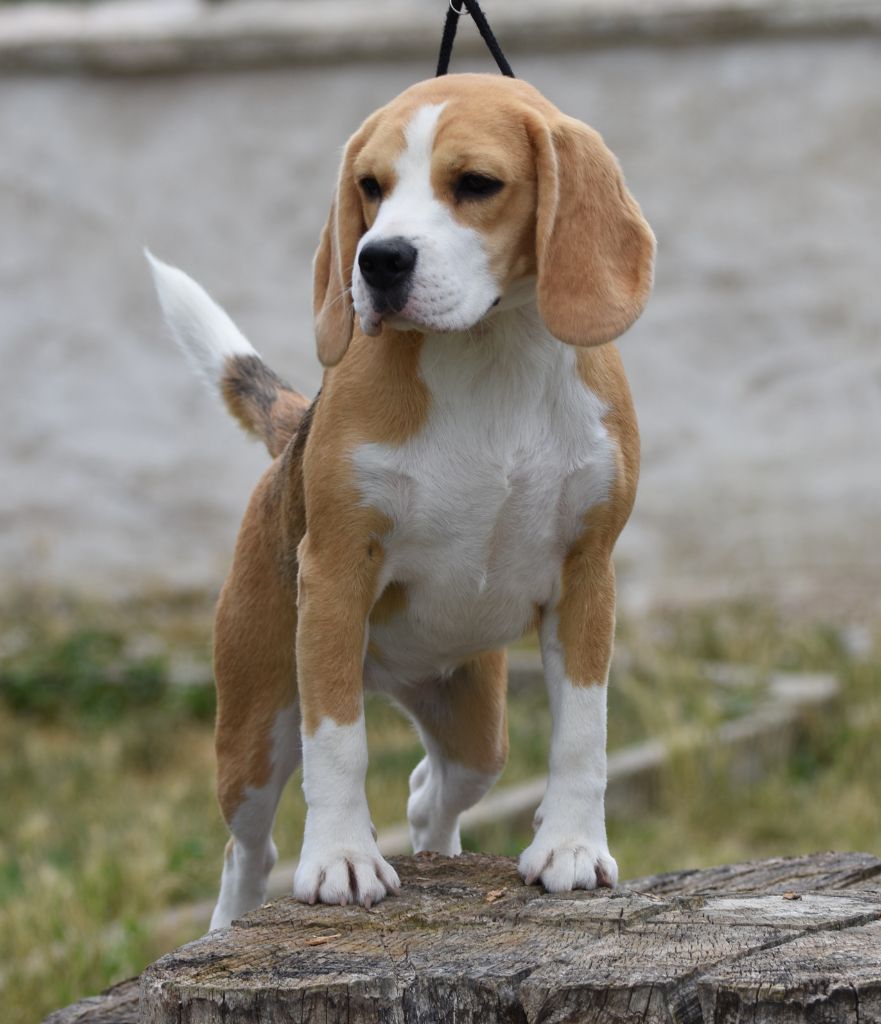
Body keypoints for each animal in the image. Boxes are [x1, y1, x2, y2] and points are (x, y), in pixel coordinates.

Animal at [147, 74, 655, 929]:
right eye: (370, 188)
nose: (377, 260)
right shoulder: (335, 577)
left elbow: (584, 730)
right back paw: (235, 916)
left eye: (476, 184)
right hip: (253, 727)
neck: (488, 353)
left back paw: (442, 854)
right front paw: (342, 860)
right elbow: (338, 743)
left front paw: (571, 847)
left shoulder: (589, 573)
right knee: (248, 848)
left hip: (475, 727)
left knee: (429, 792)